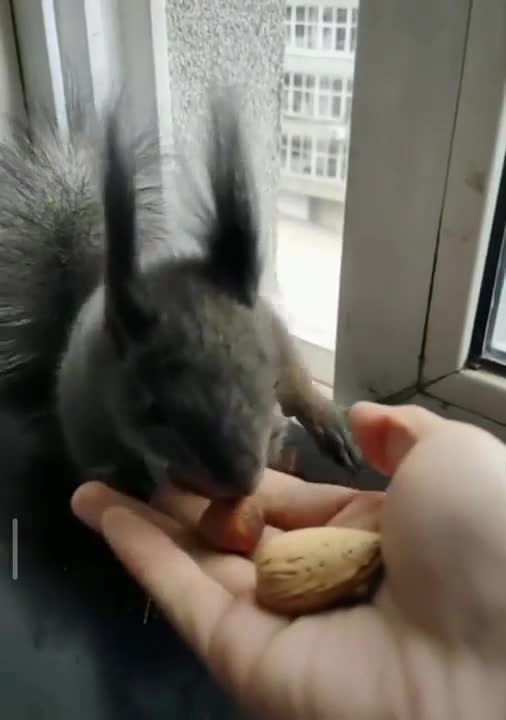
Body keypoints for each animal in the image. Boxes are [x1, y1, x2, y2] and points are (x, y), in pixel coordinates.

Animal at [0, 89, 362, 503]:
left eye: (267, 382)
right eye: (154, 412)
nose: (242, 483)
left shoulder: (278, 339)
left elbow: (299, 383)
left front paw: (326, 423)